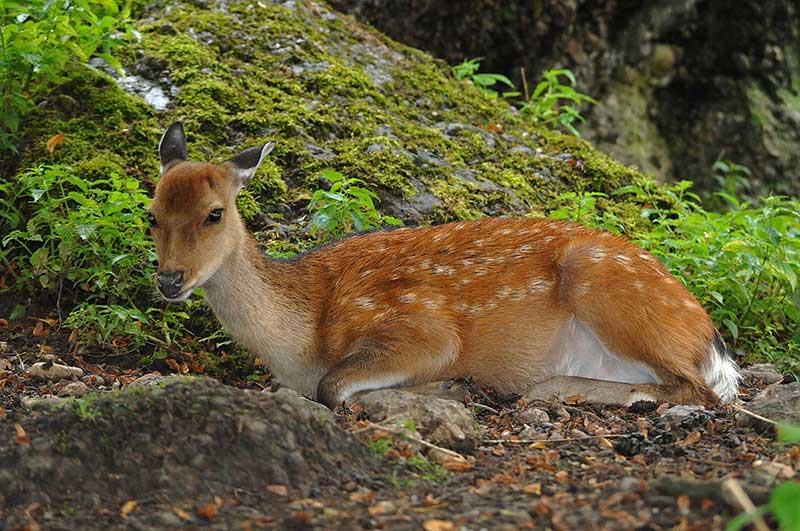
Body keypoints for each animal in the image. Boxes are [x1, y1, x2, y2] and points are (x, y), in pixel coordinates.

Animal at [147, 123, 740, 412]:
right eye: (150, 213)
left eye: (215, 213)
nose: (170, 280)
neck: (301, 336)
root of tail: (708, 334)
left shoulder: (420, 326)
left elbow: (334, 386)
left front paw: (441, 389)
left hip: (606, 287)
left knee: (700, 392)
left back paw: (542, 390)